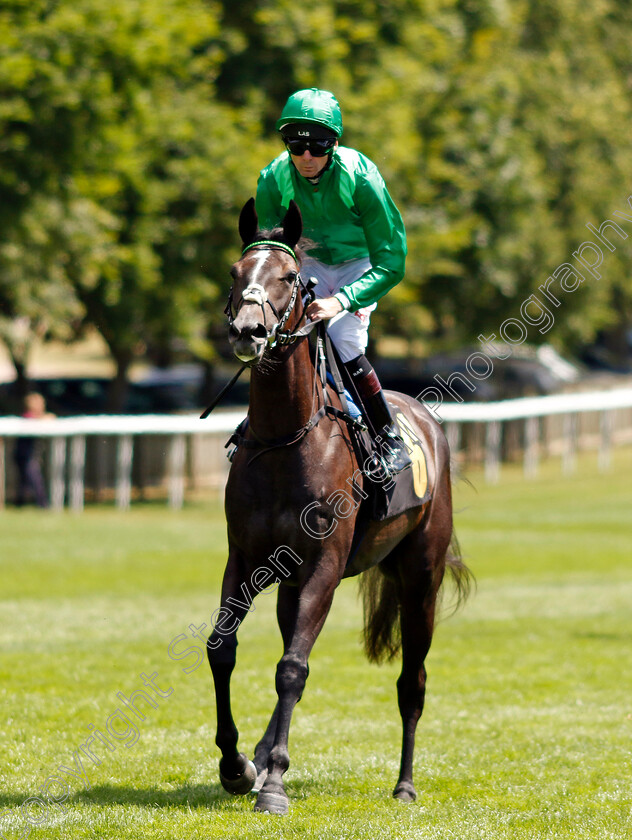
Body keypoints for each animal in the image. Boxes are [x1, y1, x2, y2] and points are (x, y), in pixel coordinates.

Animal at [206, 197, 470, 812]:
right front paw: (237, 765)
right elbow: (224, 649)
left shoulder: (324, 565)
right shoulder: (246, 559)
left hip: (420, 578)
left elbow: (291, 669)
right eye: (235, 271)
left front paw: (274, 783)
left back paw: (404, 784)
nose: (248, 330)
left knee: (412, 683)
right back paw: (259, 755)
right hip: (290, 584)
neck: (284, 439)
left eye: (288, 278)